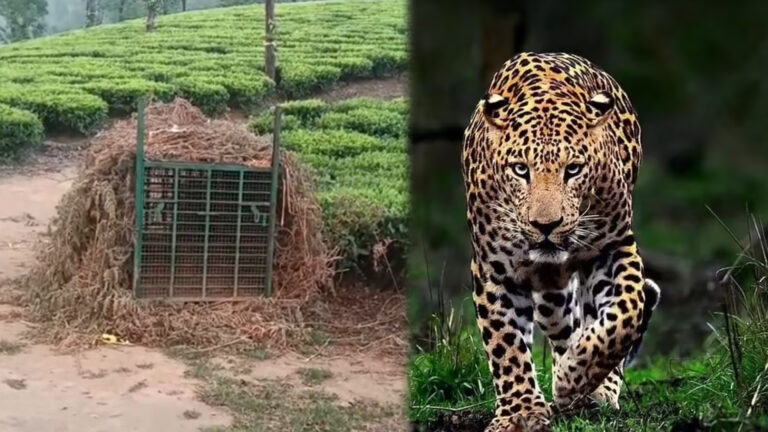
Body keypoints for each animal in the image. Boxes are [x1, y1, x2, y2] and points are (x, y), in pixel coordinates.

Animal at [461, 52, 661, 431]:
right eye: (520, 169)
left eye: (573, 169)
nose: (545, 225)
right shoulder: (493, 268)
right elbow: (505, 343)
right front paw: (521, 412)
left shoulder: (613, 246)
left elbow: (627, 312)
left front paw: (574, 377)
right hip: (550, 296)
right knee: (564, 326)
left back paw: (594, 388)